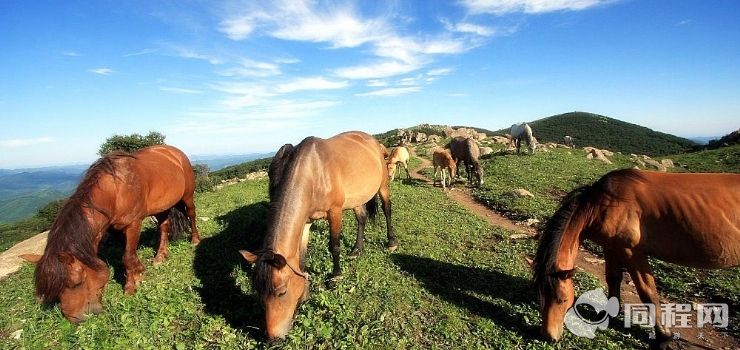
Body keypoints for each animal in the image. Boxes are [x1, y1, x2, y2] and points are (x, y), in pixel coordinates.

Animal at [20, 144, 199, 322]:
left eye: (77, 283)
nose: (75, 319)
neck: (115, 191)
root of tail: (173, 151)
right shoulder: (114, 229)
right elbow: (127, 256)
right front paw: (138, 273)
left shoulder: (133, 224)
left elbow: (127, 256)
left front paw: (131, 286)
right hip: (161, 206)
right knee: (164, 226)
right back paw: (160, 257)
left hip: (187, 195)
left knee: (191, 214)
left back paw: (195, 240)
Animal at [240, 131, 396, 340]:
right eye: (258, 293)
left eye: (281, 292)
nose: (273, 340)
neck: (313, 173)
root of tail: (373, 141)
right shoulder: (306, 222)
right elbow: (301, 258)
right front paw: (305, 292)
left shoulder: (335, 212)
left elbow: (334, 246)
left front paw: (335, 277)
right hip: (357, 197)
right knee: (361, 218)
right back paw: (356, 249)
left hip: (383, 185)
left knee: (387, 210)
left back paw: (391, 242)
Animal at [536, 170, 736, 344]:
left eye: (562, 300)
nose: (549, 336)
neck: (605, 204)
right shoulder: (611, 247)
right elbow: (613, 279)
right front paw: (611, 313)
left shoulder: (632, 252)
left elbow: (648, 292)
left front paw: (664, 335)